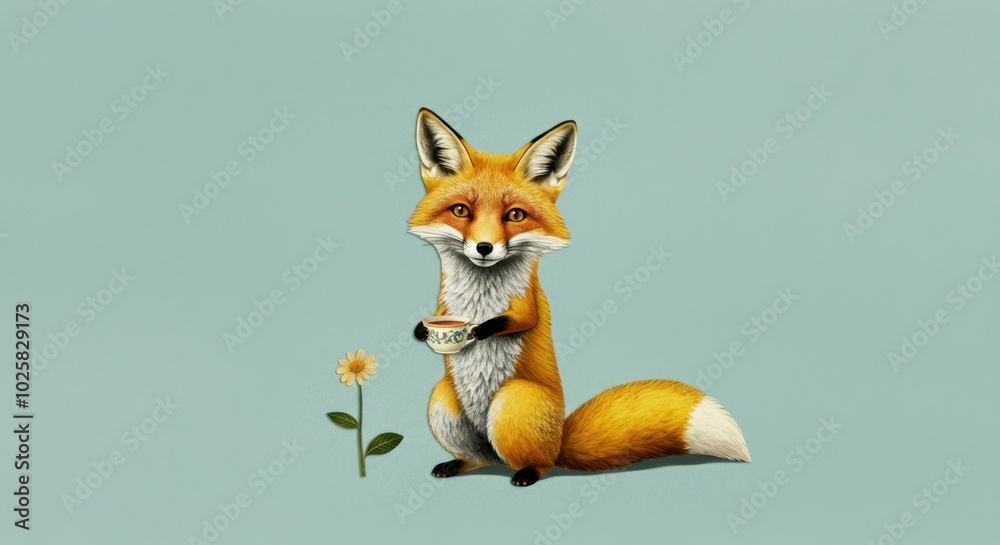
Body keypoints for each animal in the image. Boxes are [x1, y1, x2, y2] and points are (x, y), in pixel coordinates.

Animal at [409, 108, 750, 486]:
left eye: (515, 215)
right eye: (461, 211)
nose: (485, 248)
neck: (480, 295)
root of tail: (559, 441)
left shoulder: (526, 302)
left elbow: (519, 320)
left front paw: (478, 331)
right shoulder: (446, 304)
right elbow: (435, 316)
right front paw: (422, 331)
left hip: (513, 398)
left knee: (537, 464)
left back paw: (525, 474)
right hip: (442, 399)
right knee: (479, 459)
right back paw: (455, 464)